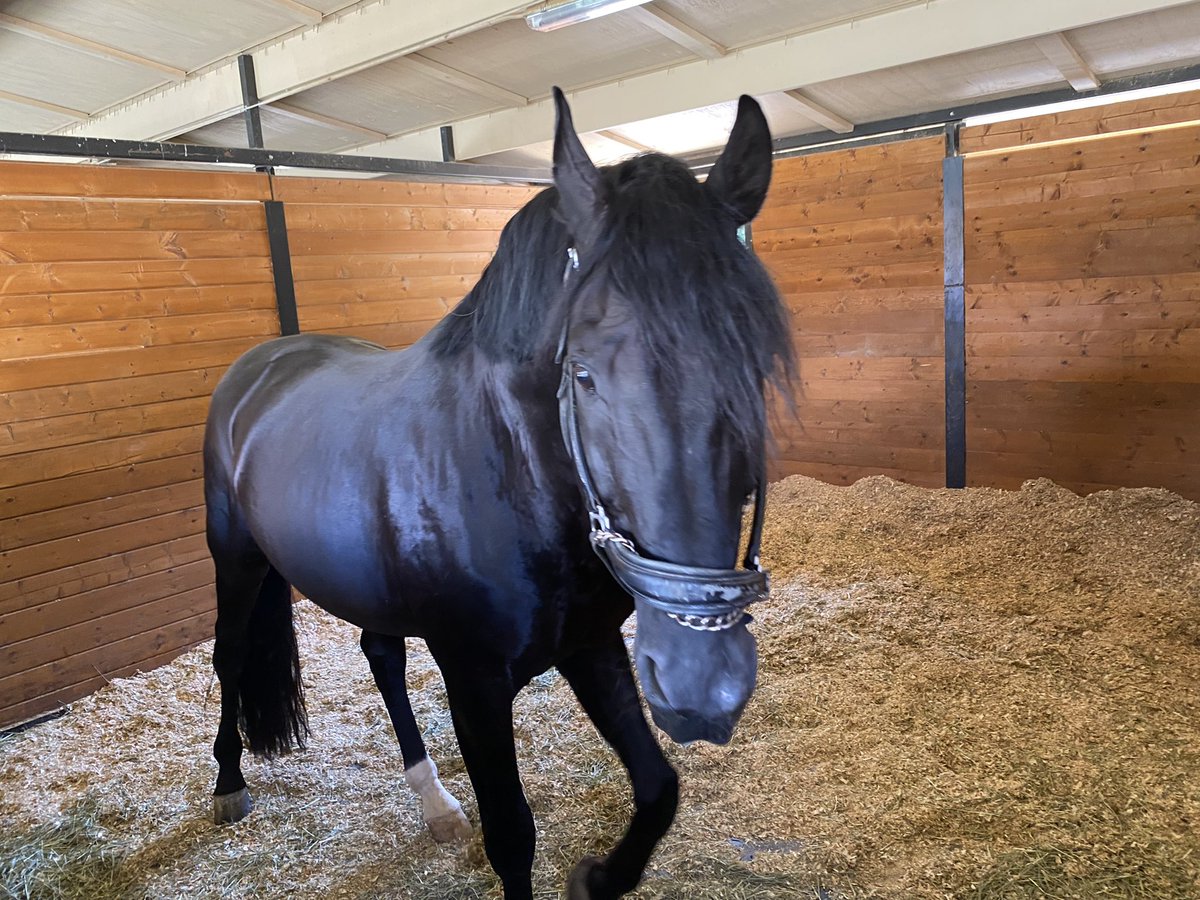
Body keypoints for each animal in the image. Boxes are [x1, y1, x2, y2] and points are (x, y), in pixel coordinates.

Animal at [201, 87, 793, 900]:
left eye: (756, 368)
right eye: (582, 373)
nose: (704, 687)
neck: (512, 474)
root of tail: (258, 366)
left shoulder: (591, 646)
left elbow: (658, 789)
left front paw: (596, 878)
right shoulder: (475, 683)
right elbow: (512, 836)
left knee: (380, 655)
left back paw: (435, 804)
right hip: (237, 560)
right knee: (230, 656)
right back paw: (229, 784)